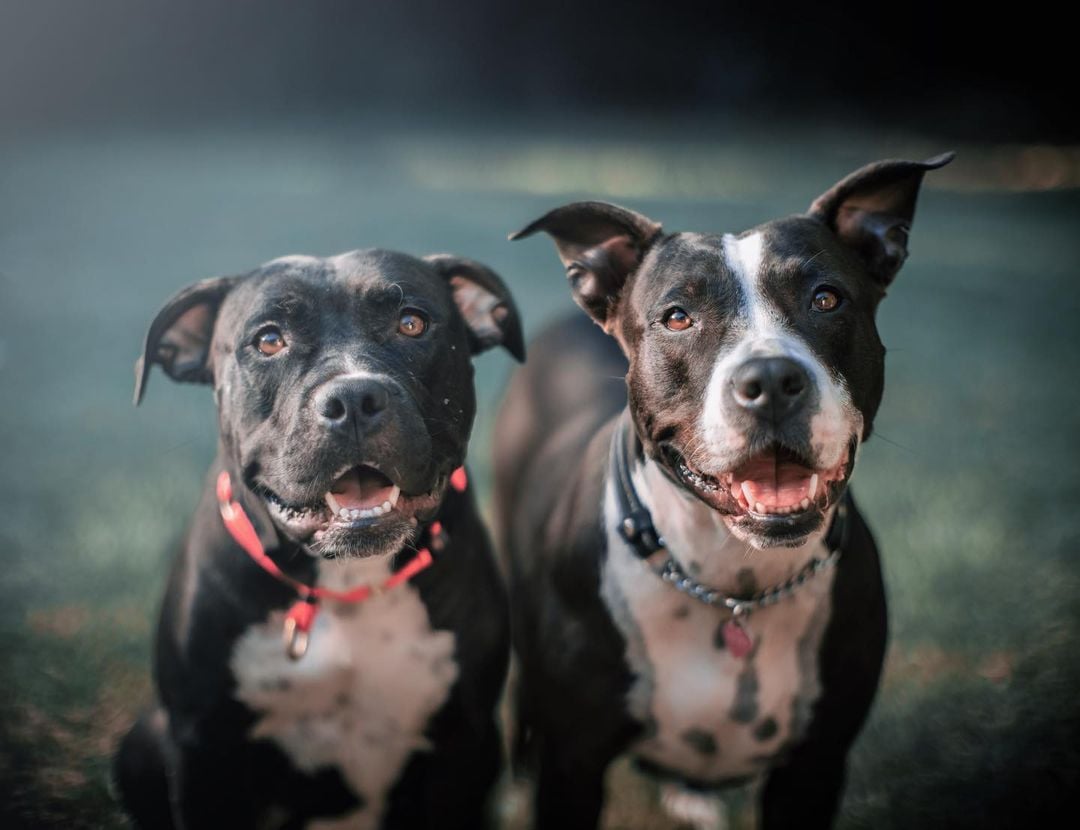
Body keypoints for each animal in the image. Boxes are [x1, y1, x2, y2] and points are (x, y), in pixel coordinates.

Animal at [112, 249, 522, 828]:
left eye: (412, 323)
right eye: (268, 340)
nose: (353, 396)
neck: (344, 580)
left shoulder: (463, 746)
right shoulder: (203, 751)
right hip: (143, 744)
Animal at [496, 155, 954, 828]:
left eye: (826, 299)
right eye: (677, 316)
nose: (771, 380)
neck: (732, 581)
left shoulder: (815, 766)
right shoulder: (571, 765)